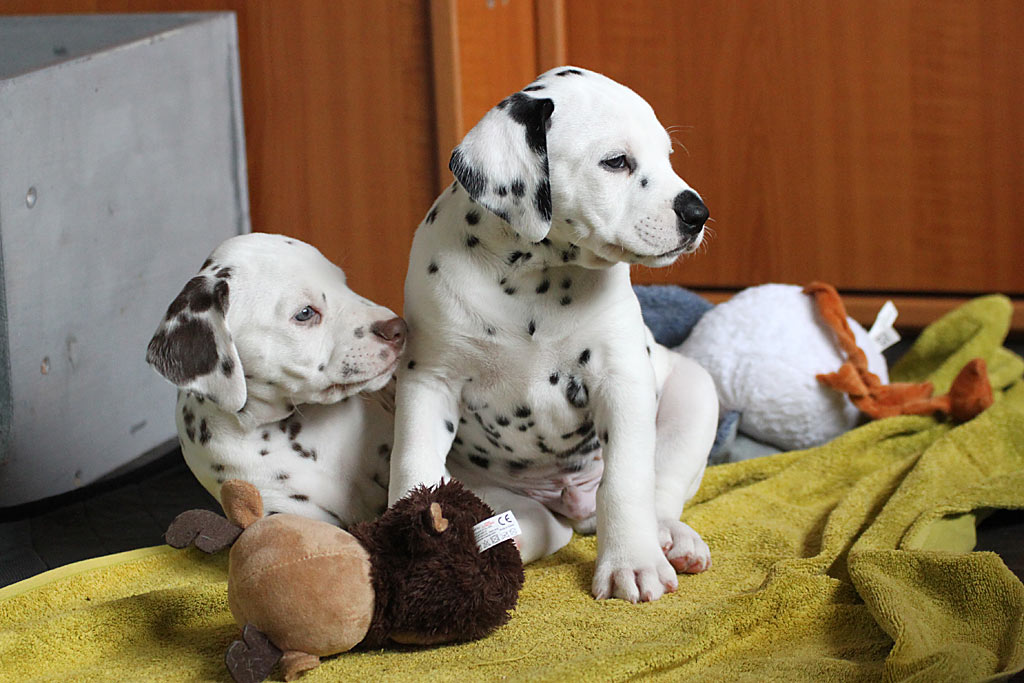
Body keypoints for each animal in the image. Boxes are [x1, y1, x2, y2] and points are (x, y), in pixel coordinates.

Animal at [388, 67, 720, 603]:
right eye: (616, 162)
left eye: (668, 157)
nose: (697, 213)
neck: (531, 278)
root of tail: (572, 510)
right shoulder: (428, 379)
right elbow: (413, 463)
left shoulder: (620, 380)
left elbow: (626, 482)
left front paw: (631, 562)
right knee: (534, 527)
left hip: (695, 394)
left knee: (661, 491)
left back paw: (671, 539)